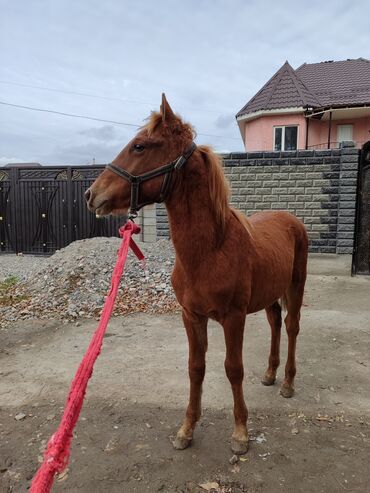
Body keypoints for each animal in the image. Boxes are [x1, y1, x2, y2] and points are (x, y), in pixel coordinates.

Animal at [85, 95, 308, 454]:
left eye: (139, 146)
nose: (91, 195)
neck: (210, 251)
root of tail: (291, 220)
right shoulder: (191, 316)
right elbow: (195, 368)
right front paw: (187, 429)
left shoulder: (234, 318)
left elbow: (233, 369)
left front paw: (240, 433)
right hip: (269, 294)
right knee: (275, 322)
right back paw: (270, 374)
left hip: (295, 287)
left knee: (291, 327)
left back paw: (287, 382)